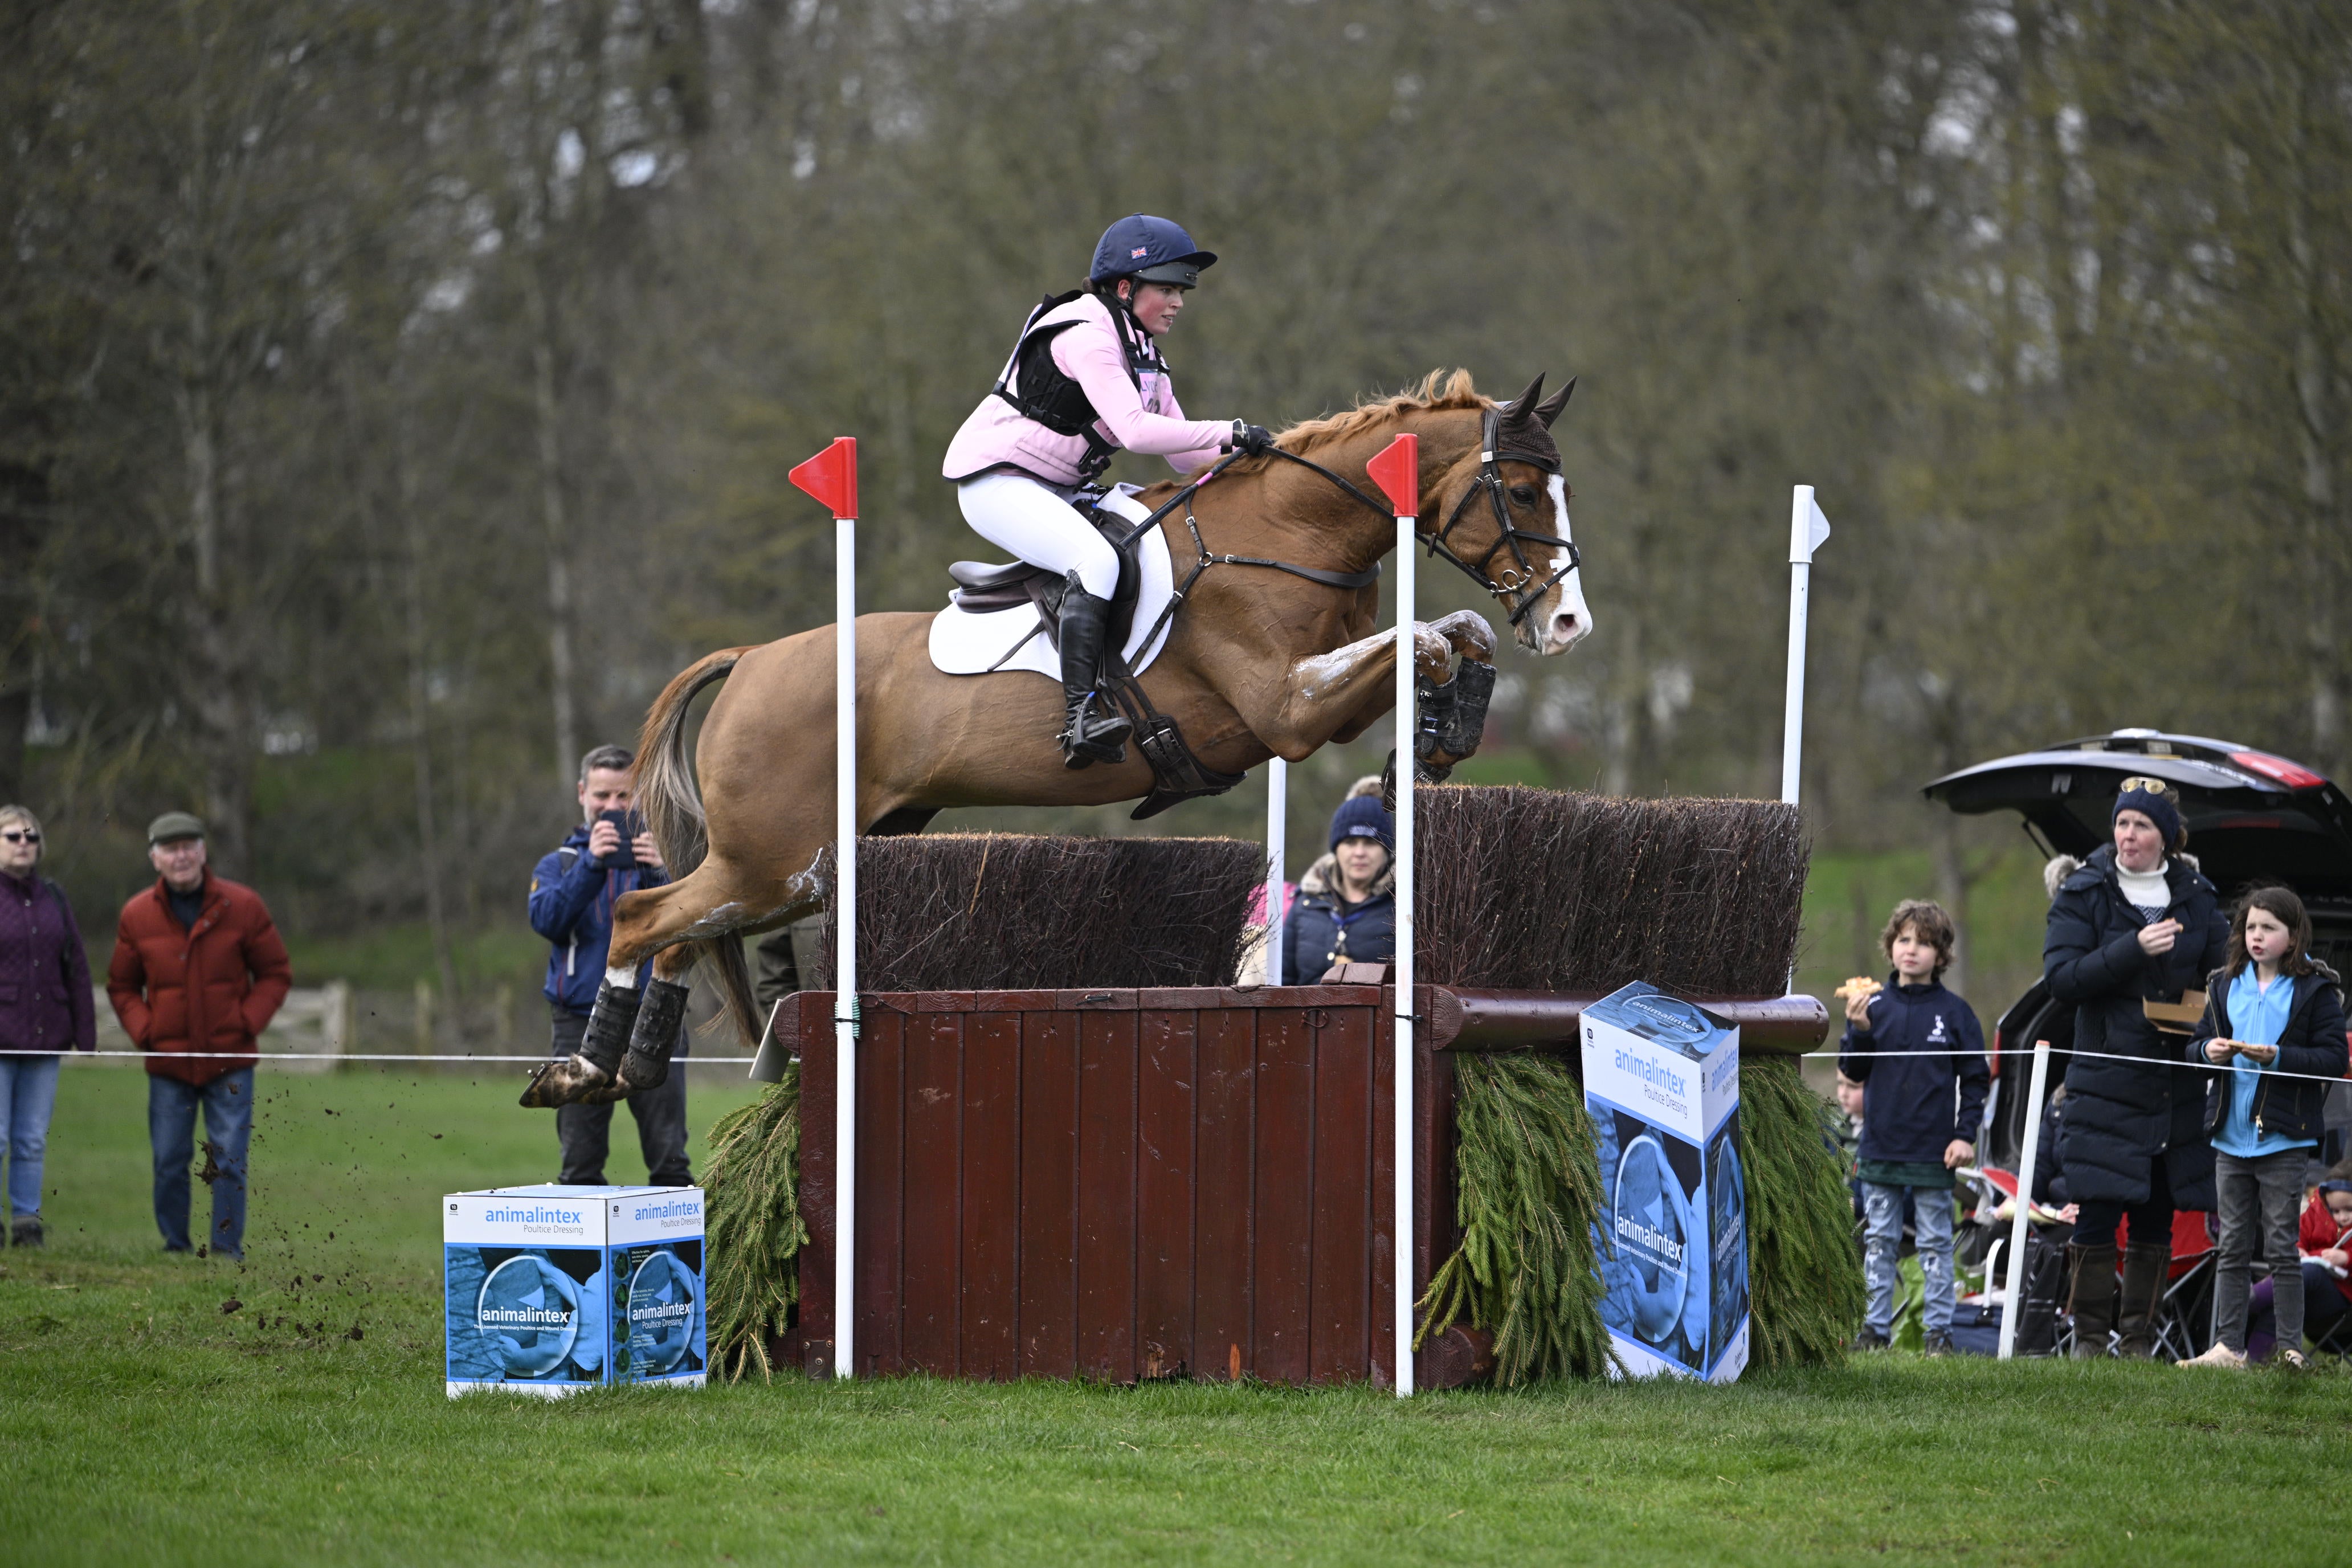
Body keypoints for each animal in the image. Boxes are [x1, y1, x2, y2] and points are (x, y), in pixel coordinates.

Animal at [529, 369, 1599, 1109]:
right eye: (1519, 489)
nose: (1568, 625)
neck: (1285, 537)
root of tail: (752, 659)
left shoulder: (1315, 696)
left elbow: (1449, 633)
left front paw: (1441, 736)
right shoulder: (1286, 711)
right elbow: (1424, 638)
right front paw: (1437, 726)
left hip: (820, 859)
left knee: (678, 934)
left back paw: (620, 1067)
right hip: (776, 859)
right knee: (643, 917)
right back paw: (579, 1069)